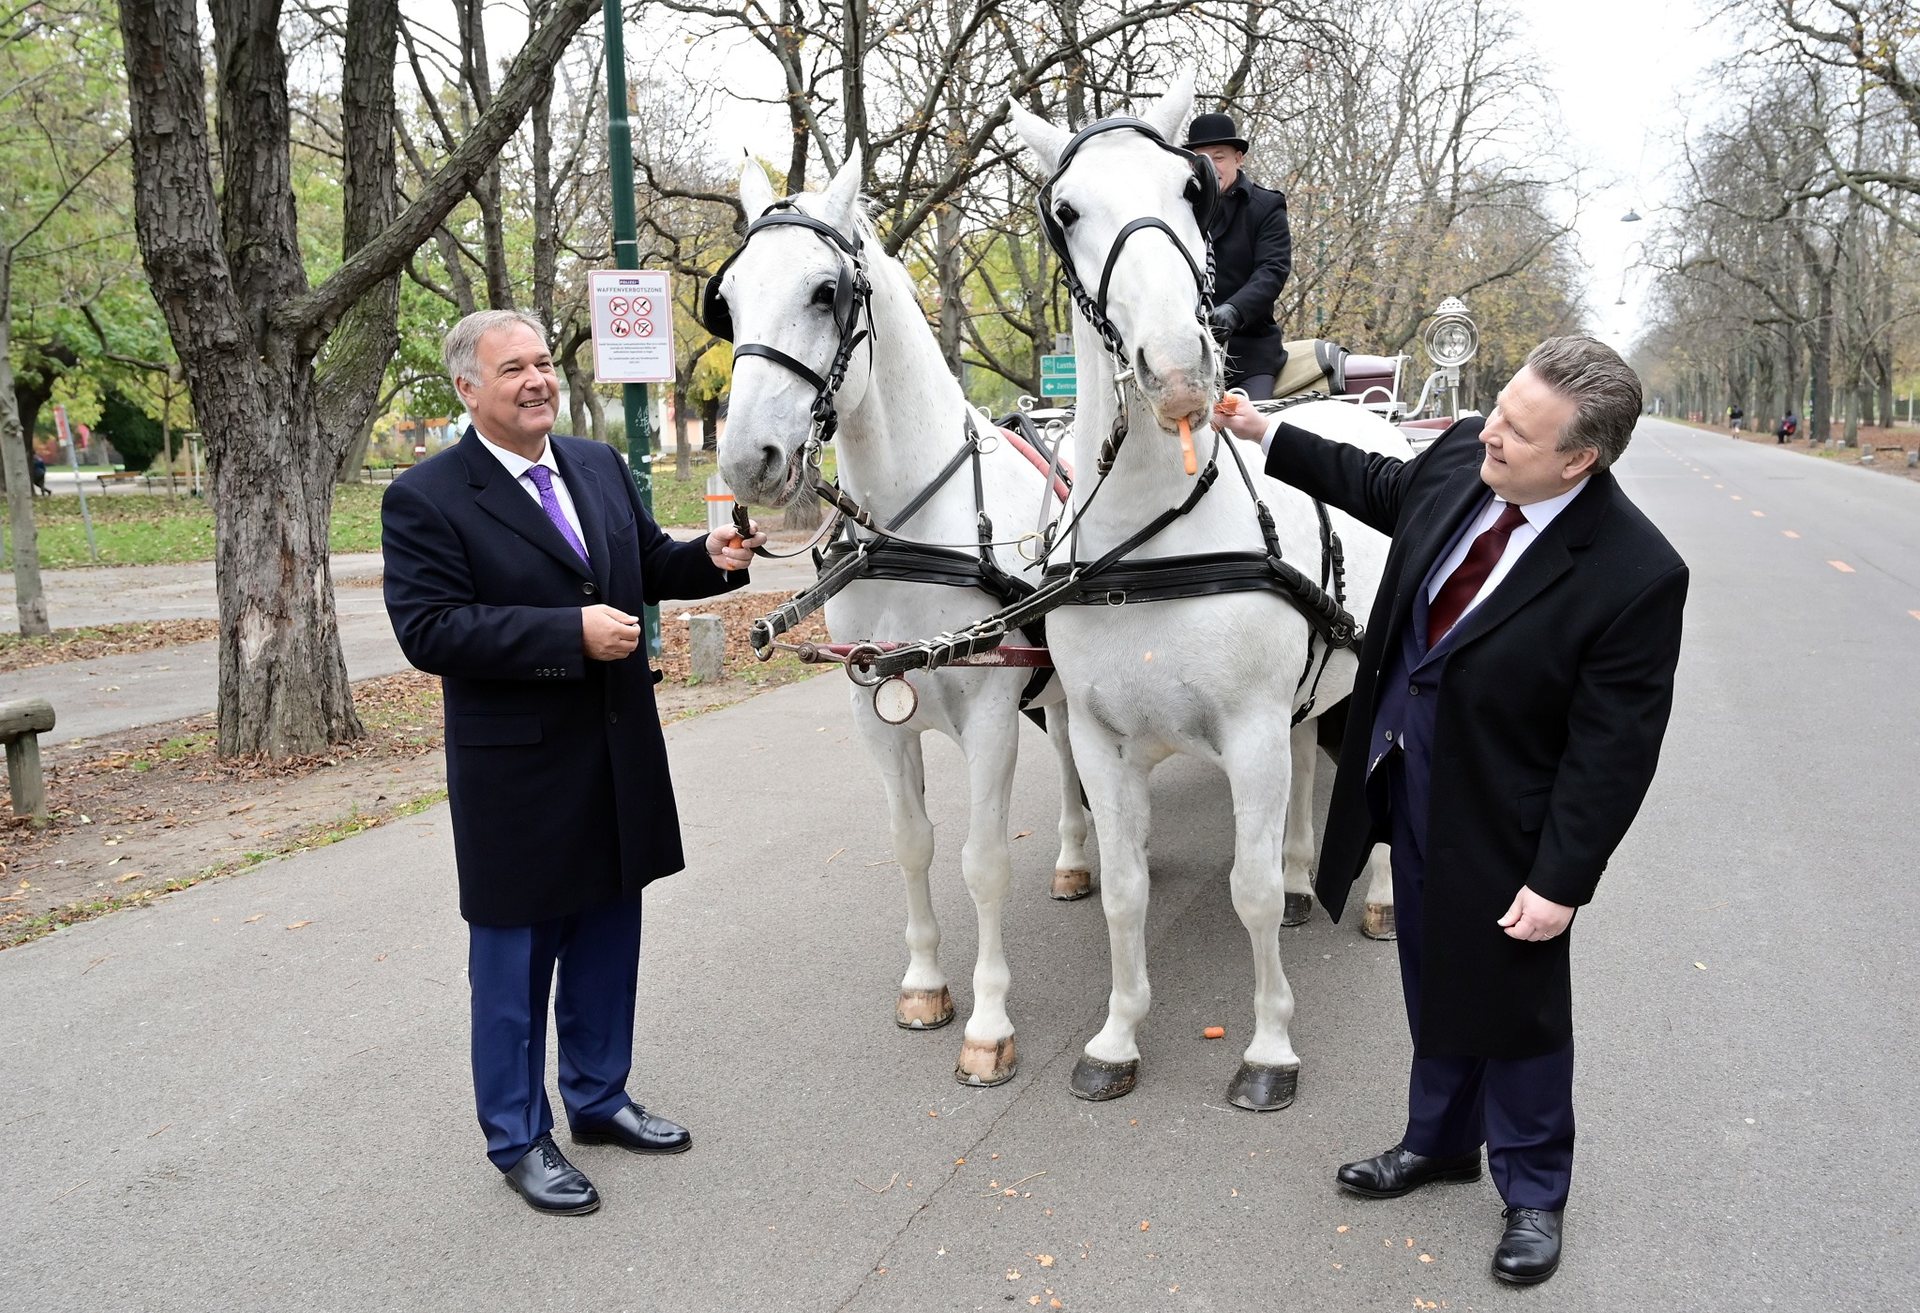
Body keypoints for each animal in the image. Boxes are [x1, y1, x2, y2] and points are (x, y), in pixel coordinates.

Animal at [710, 148, 1098, 1090]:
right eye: (727, 297)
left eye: (825, 291)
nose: (744, 461)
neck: (909, 530)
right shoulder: (873, 709)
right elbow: (913, 842)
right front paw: (925, 983)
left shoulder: (992, 712)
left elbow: (982, 862)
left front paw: (989, 1024)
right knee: (1073, 746)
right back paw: (1077, 857)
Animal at [1006, 74, 1413, 1105]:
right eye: (1066, 212)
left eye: (1189, 190)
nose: (1181, 371)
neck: (1154, 538)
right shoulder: (1102, 742)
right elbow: (1124, 892)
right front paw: (1117, 1037)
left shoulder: (1250, 732)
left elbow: (1249, 890)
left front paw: (1268, 1047)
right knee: (1312, 761)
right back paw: (1312, 876)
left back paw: (1379, 899)